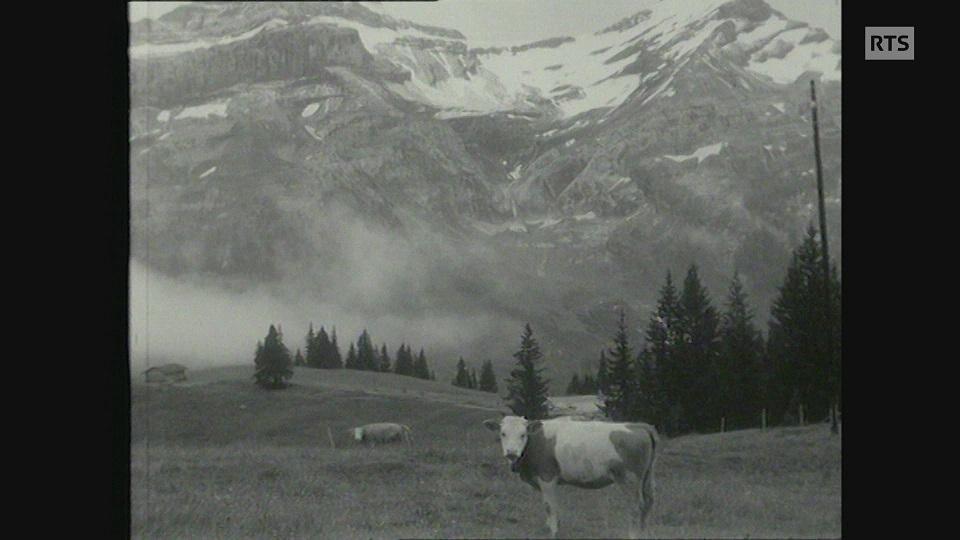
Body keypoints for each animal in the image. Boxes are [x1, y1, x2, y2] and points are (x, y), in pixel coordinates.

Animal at [484, 416, 656, 536]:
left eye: (523, 434)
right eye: (503, 434)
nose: (511, 453)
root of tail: (638, 425)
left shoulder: (547, 478)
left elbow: (549, 506)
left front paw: (553, 531)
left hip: (629, 480)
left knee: (636, 507)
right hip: (646, 479)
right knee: (648, 504)